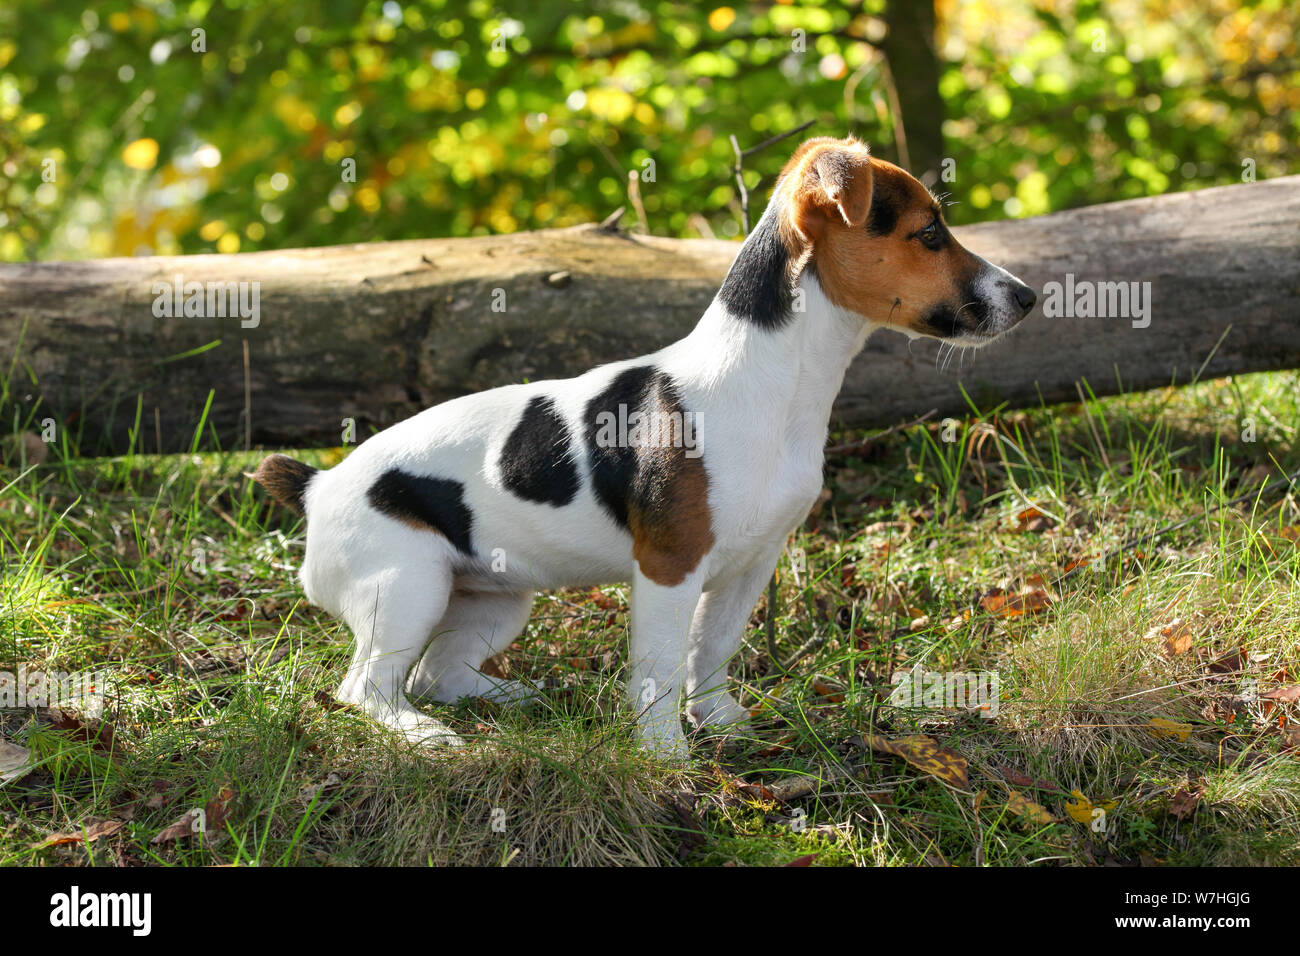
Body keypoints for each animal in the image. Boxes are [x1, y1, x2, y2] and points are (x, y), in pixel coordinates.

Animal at [250, 136, 1034, 764]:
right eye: (928, 234)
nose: (1027, 298)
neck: (775, 379)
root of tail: (319, 485)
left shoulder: (751, 563)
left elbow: (710, 649)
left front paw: (718, 720)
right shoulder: (669, 566)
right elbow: (659, 662)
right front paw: (664, 753)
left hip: (494, 599)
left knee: (434, 675)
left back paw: (521, 699)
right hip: (408, 587)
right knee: (369, 687)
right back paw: (424, 736)